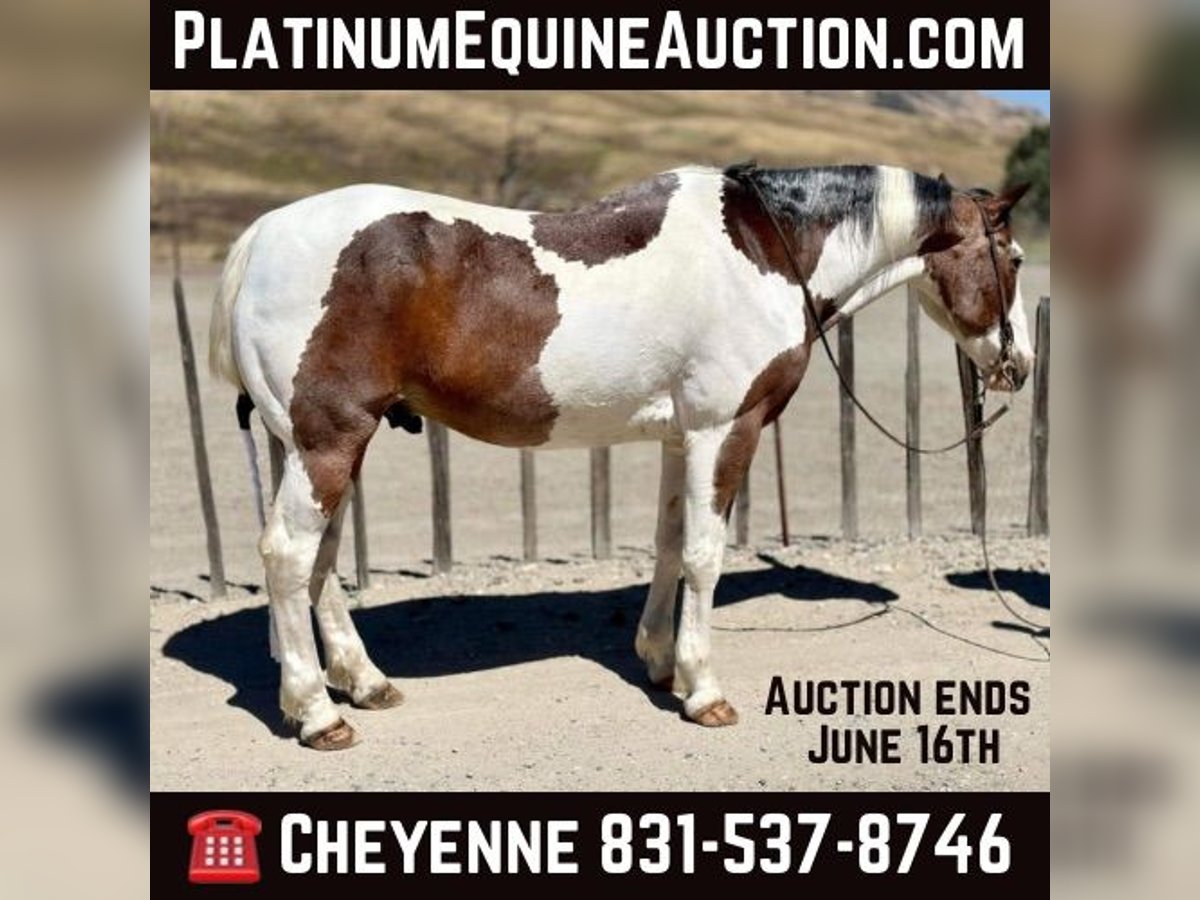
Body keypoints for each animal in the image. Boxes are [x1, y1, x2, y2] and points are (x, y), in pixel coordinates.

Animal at [209, 163, 1034, 750]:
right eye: (1017, 259)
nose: (1020, 367)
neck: (763, 249)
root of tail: (260, 237)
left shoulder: (680, 435)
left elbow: (670, 545)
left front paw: (661, 661)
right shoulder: (725, 429)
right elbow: (704, 554)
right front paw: (704, 691)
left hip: (320, 445)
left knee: (319, 565)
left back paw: (362, 683)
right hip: (329, 438)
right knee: (289, 556)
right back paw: (317, 714)